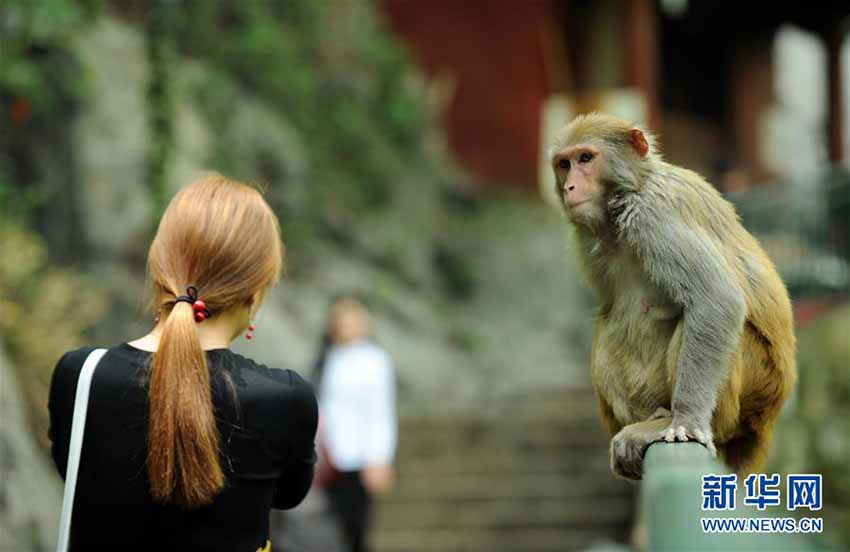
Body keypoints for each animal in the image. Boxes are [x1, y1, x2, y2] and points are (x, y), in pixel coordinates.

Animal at [548, 113, 796, 478]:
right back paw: (652, 418)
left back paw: (678, 421)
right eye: (564, 164)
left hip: (755, 382)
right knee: (608, 325)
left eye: (585, 158)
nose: (569, 187)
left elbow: (715, 300)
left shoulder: (653, 216)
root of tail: (767, 418)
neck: (627, 196)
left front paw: (688, 422)